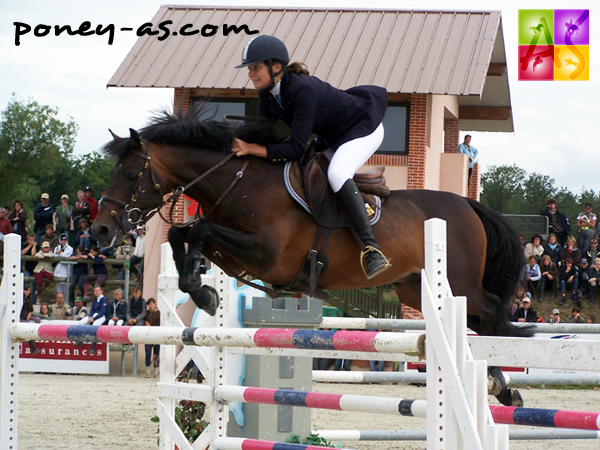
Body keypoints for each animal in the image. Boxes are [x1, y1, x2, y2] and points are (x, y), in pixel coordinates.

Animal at [92, 108, 528, 404]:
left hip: (461, 284)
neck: (240, 183)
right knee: (477, 323)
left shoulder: (267, 256)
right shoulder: (238, 250)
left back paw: (504, 386)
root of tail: (469, 205)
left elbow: (198, 230)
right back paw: (500, 385)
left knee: (492, 311)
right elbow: (183, 233)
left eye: (129, 175)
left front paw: (204, 290)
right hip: (416, 290)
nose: (100, 230)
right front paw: (202, 289)